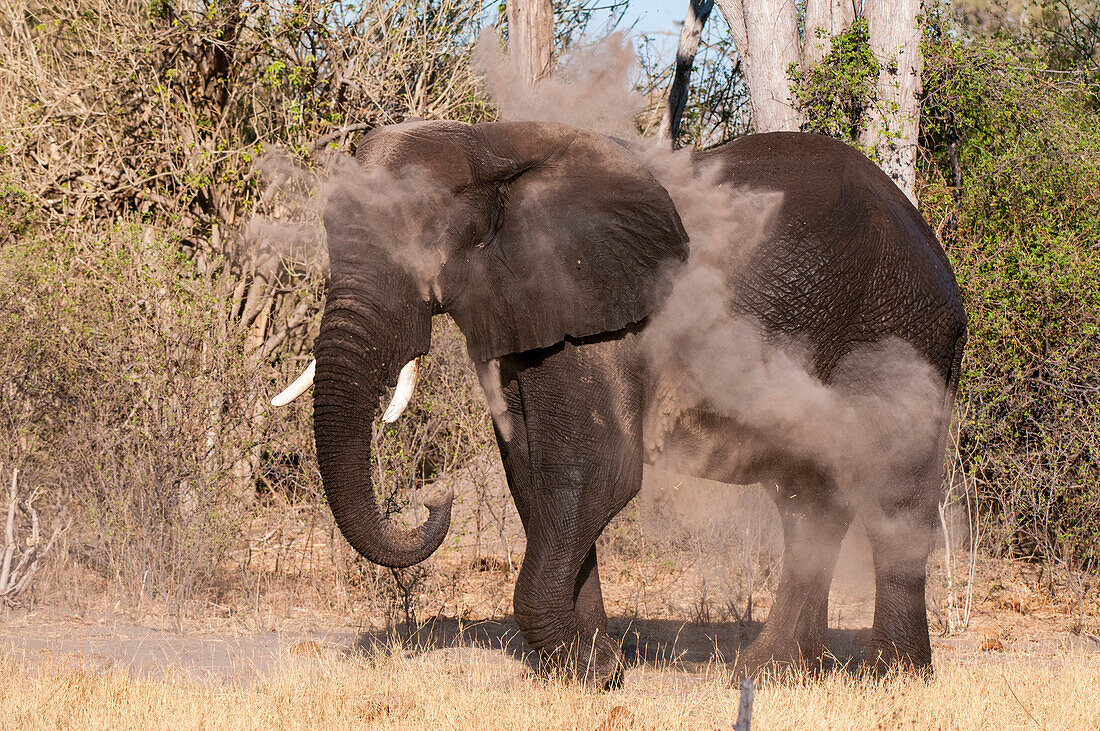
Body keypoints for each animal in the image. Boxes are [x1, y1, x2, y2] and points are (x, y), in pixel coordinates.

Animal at [272, 118, 963, 685]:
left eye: (419, 239)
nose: (431, 499)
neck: (493, 148)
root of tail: (933, 243)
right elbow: (534, 477)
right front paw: (593, 670)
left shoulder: (603, 313)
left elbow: (597, 472)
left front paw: (589, 674)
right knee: (809, 502)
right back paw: (771, 673)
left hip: (905, 330)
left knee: (891, 492)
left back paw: (889, 679)